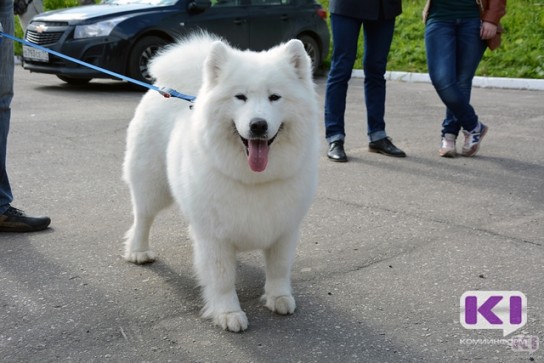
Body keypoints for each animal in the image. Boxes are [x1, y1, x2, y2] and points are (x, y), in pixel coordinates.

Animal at [123, 34, 318, 332]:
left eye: (275, 97)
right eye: (241, 97)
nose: (258, 125)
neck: (254, 179)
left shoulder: (285, 228)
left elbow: (279, 268)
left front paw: (279, 297)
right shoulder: (215, 236)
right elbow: (222, 278)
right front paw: (228, 313)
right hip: (152, 185)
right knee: (142, 218)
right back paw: (138, 251)